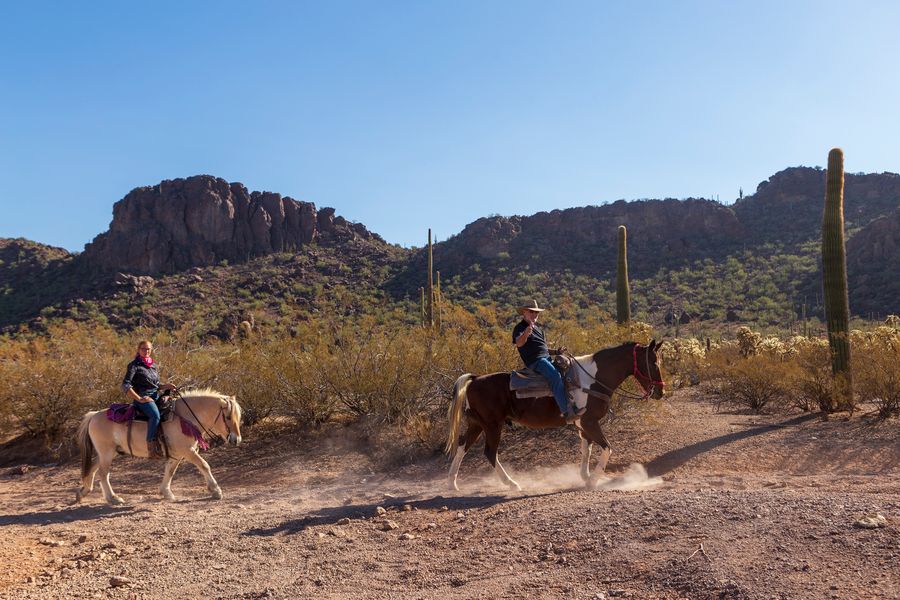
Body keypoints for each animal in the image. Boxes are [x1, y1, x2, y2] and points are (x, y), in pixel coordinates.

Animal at [74, 386, 243, 504]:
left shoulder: (176, 454)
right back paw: (113, 498)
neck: (185, 417)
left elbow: (170, 471)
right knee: (103, 473)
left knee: (93, 467)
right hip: (107, 453)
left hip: (108, 452)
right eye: (228, 417)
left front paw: (166, 493)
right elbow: (204, 465)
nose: (236, 439)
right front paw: (216, 491)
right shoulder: (188, 451)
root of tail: (93, 415)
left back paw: (83, 492)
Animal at [446, 342, 664, 492]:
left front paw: (585, 476)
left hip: (477, 424)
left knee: (462, 447)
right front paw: (593, 480)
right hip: (492, 425)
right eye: (653, 363)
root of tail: (475, 379)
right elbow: (606, 448)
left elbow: (586, 449)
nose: (660, 392)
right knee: (490, 453)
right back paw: (512, 484)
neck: (592, 379)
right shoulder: (589, 421)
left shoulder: (583, 423)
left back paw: (452, 484)